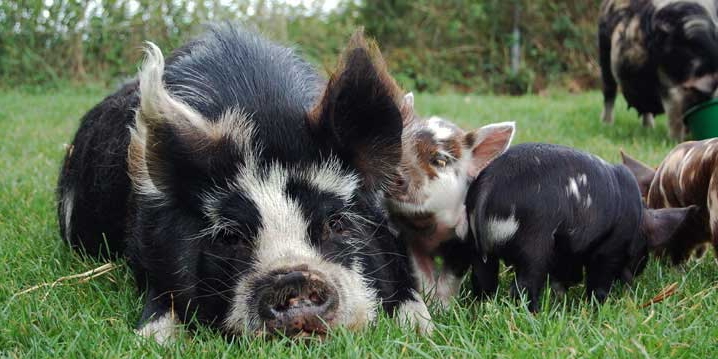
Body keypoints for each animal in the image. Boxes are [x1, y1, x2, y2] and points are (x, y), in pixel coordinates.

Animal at [56, 25, 434, 344]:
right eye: (230, 235)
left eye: (338, 222)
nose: (293, 279)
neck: (264, 116)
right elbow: (162, 302)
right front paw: (149, 341)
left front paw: (422, 331)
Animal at [466, 143, 696, 312]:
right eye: (645, 250)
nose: (639, 273)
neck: (638, 220)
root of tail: (488, 187)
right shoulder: (609, 250)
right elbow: (598, 282)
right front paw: (600, 306)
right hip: (534, 244)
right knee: (523, 286)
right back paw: (536, 313)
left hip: (478, 250)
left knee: (483, 280)